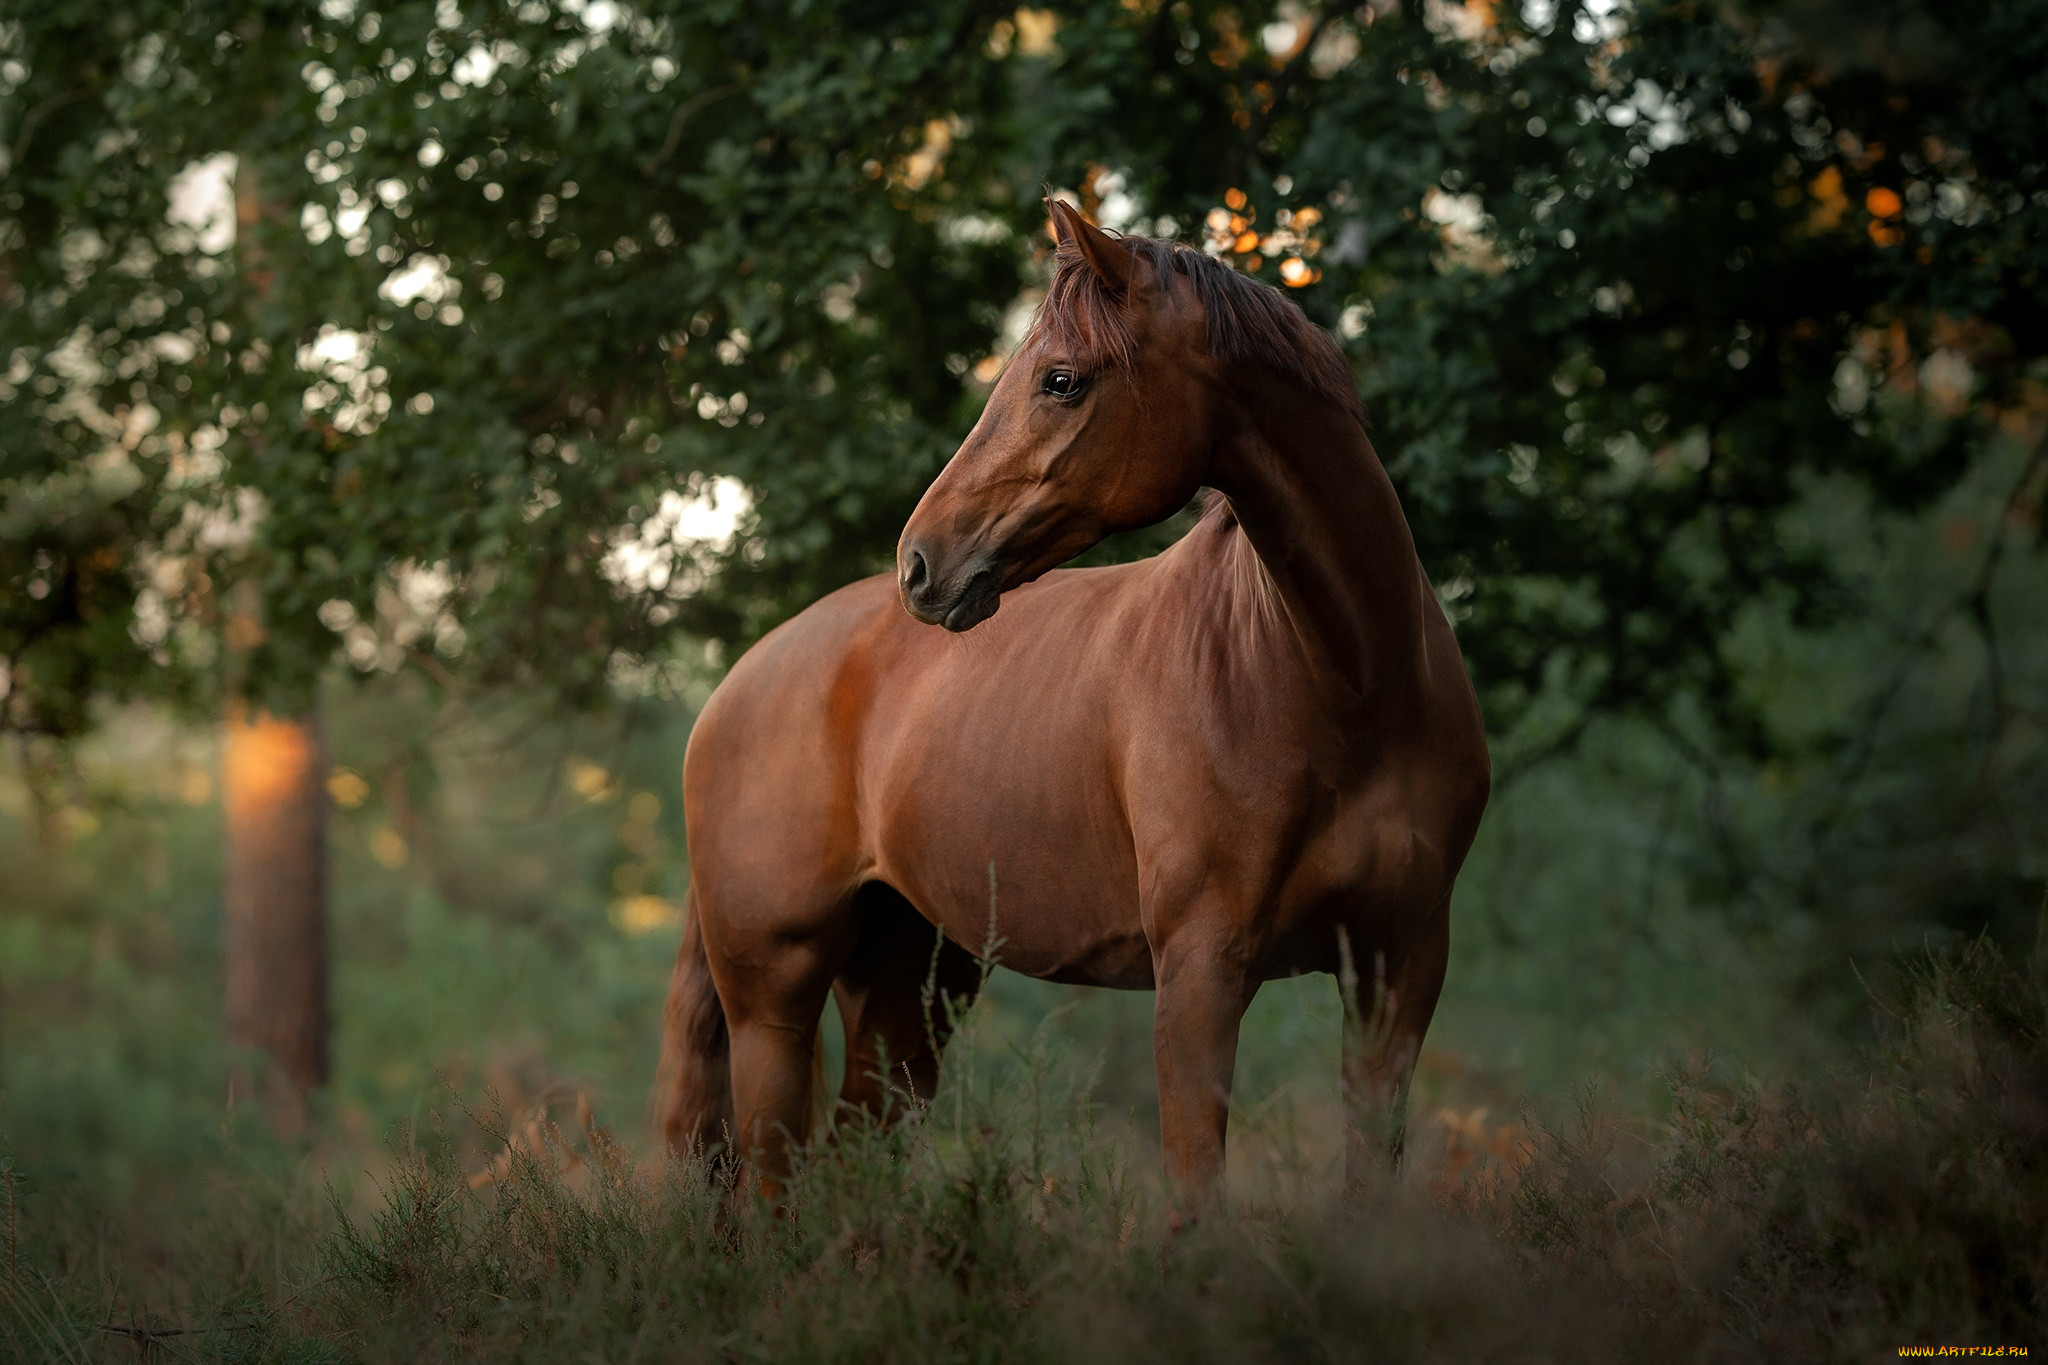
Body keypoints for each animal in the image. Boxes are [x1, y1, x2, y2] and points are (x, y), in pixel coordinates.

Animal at [655, 197, 1490, 1211]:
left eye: (1061, 379)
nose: (920, 562)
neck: (1347, 685)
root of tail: (737, 684)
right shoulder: (1203, 970)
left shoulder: (1397, 969)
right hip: (773, 999)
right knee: (771, 1185)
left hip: (910, 988)